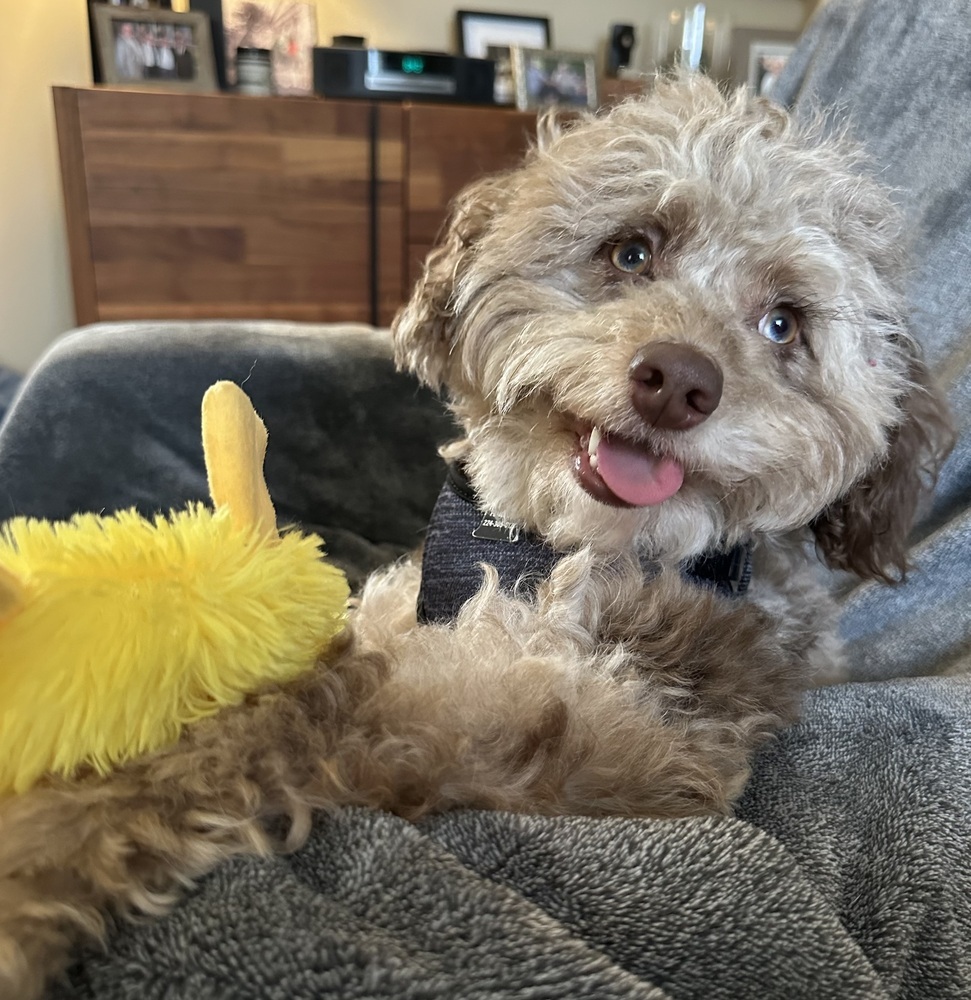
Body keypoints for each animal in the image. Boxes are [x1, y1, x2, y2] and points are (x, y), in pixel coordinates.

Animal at [0, 74, 952, 996]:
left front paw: (43, 836)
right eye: (631, 250)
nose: (678, 380)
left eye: (782, 323)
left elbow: (284, 722)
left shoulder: (575, 716)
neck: (536, 547)